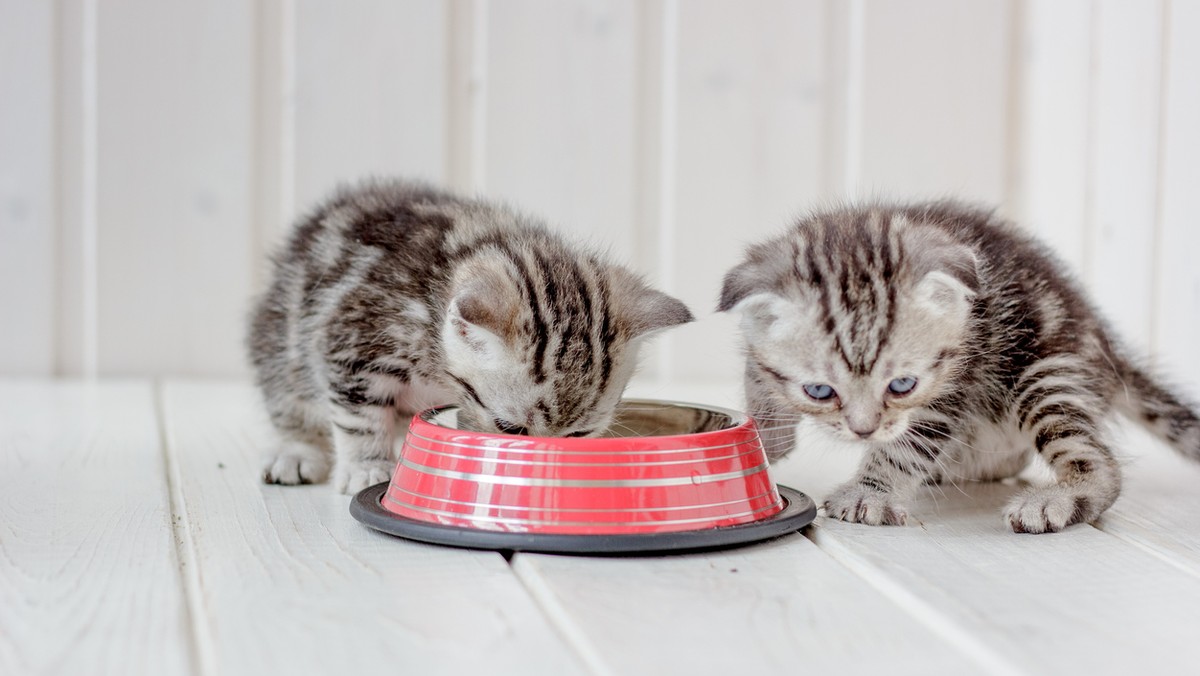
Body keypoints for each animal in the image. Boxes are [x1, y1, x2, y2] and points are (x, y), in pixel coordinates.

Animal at [246, 178, 696, 497]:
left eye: (578, 438)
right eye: (511, 428)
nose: (543, 472)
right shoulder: (350, 337)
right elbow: (359, 416)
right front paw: (368, 466)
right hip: (280, 340)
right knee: (288, 398)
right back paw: (294, 451)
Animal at [720, 200, 1200, 535]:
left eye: (902, 385)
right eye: (820, 391)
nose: (864, 431)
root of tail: (1103, 342)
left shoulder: (954, 385)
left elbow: (908, 446)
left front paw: (869, 494)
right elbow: (757, 367)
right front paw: (767, 437)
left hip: (1044, 374)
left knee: (1097, 461)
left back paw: (1053, 502)